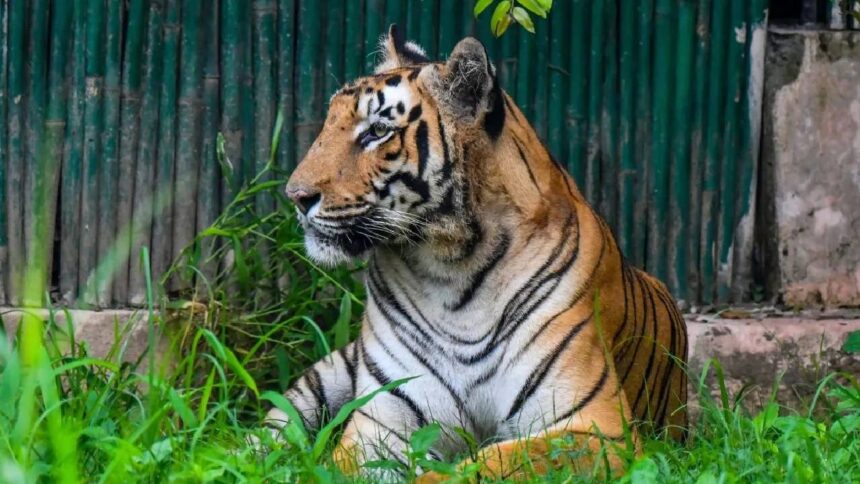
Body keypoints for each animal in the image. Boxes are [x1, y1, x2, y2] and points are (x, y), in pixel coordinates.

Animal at [268, 25, 688, 480]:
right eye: (329, 122)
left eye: (377, 131)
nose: (295, 196)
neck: (451, 271)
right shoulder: (380, 423)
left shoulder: (595, 428)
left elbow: (486, 465)